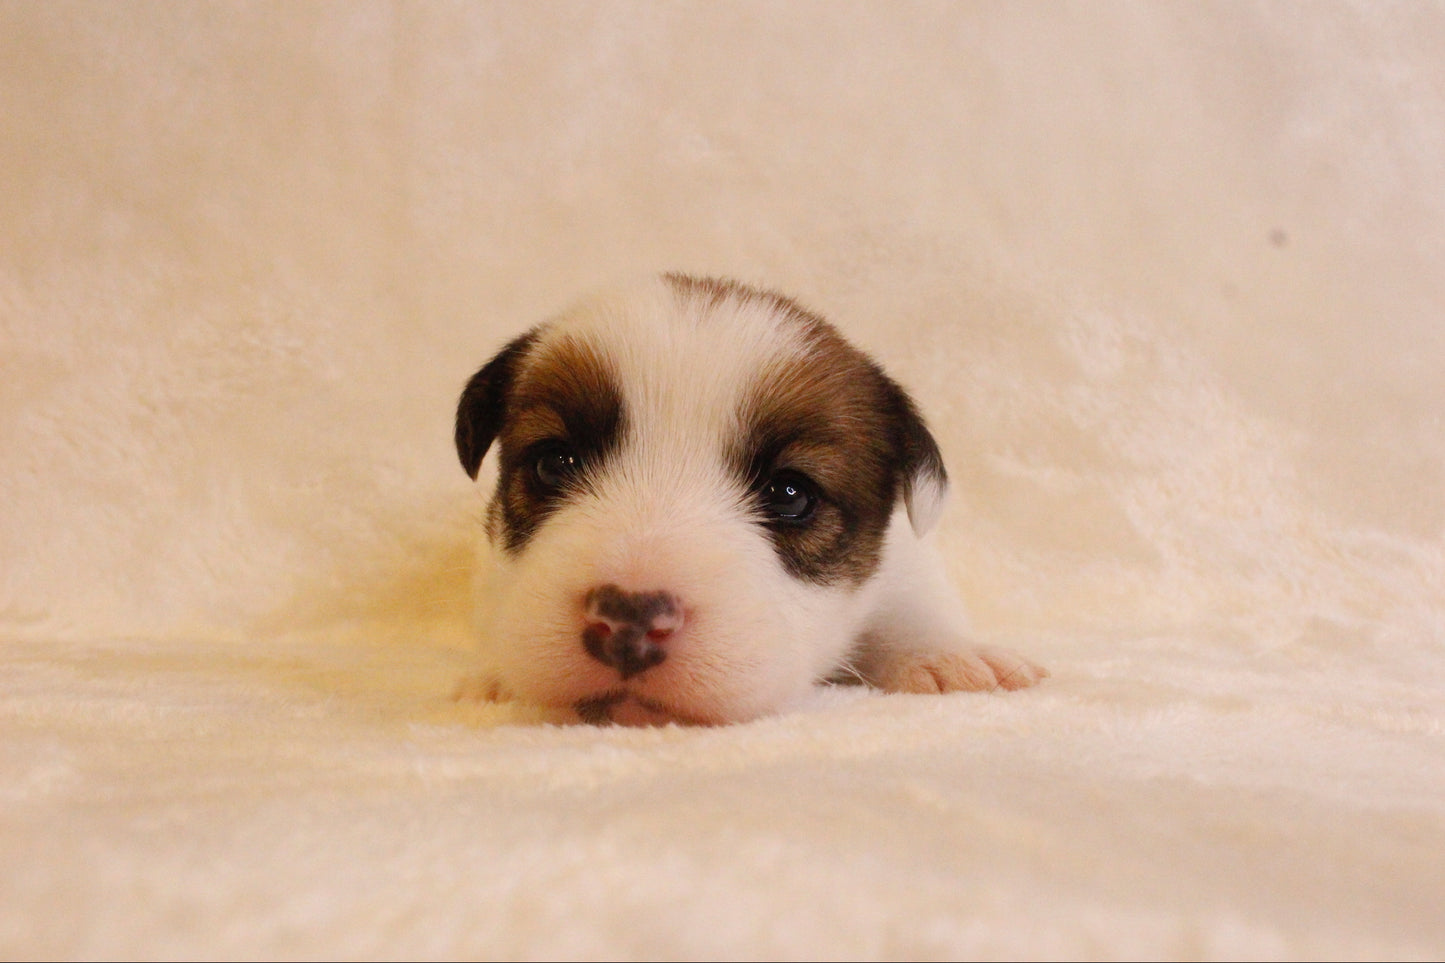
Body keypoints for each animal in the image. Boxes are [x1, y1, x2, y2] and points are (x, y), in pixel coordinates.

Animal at [450, 273, 1040, 722]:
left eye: (791, 494)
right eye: (555, 463)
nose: (628, 620)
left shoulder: (906, 564)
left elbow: (916, 606)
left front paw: (946, 656)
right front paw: (494, 674)